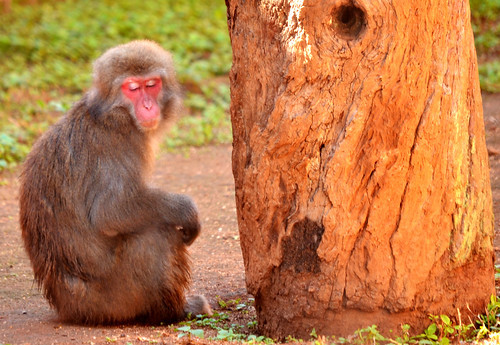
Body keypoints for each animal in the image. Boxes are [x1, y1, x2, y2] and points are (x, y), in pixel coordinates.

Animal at [18, 40, 211, 326]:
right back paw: (173, 311)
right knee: (156, 233)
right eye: (132, 88)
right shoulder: (118, 145)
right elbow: (110, 211)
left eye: (151, 84)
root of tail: (68, 309)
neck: (113, 114)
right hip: (114, 300)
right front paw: (185, 210)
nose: (148, 106)